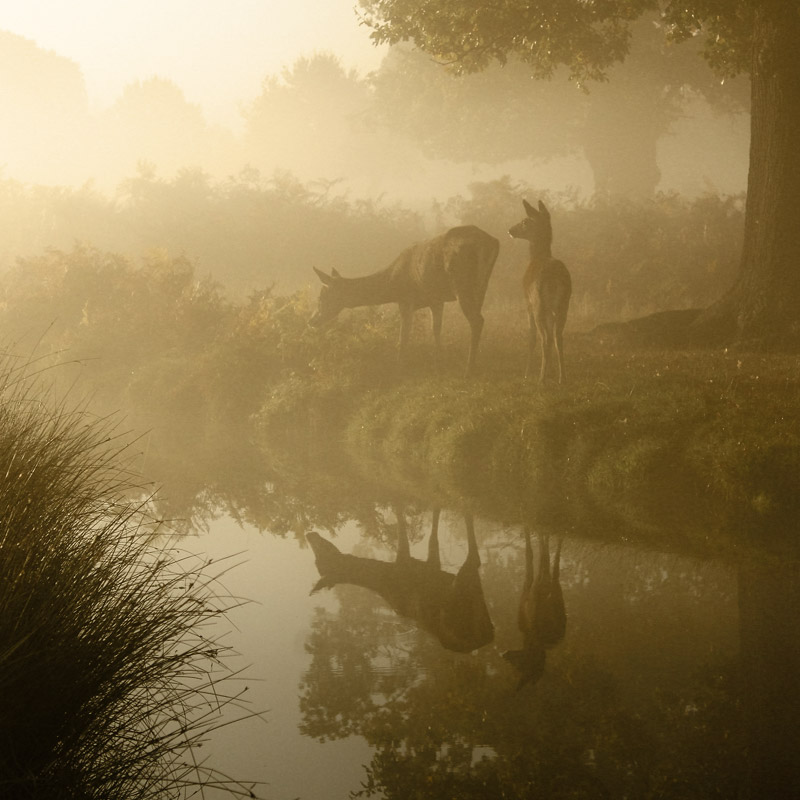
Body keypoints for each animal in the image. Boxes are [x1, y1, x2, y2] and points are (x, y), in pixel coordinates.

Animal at [306, 510, 494, 652]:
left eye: (323, 554)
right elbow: (432, 534)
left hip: (461, 591)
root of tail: (489, 635)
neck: (386, 576)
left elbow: (403, 523)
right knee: (475, 560)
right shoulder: (430, 567)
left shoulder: (407, 562)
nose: (310, 533)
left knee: (475, 558)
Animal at [310, 223, 496, 376]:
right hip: (482, 285)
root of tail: (490, 242)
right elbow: (435, 329)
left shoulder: (405, 299)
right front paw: (439, 361)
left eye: (322, 295)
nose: (312, 320)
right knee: (478, 318)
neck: (392, 284)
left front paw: (399, 368)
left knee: (477, 320)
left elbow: (403, 336)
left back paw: (469, 369)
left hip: (461, 282)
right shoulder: (436, 299)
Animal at [504, 528, 564, 692]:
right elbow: (541, 557)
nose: (505, 655)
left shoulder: (531, 592)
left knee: (550, 568)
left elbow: (530, 559)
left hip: (550, 593)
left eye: (519, 666)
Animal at [510, 203, 572, 384]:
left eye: (525, 221)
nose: (510, 229)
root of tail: (554, 277)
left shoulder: (527, 303)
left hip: (539, 303)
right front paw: (551, 371)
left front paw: (527, 373)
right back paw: (562, 377)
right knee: (558, 336)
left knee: (545, 338)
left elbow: (531, 337)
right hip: (564, 304)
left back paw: (541, 379)